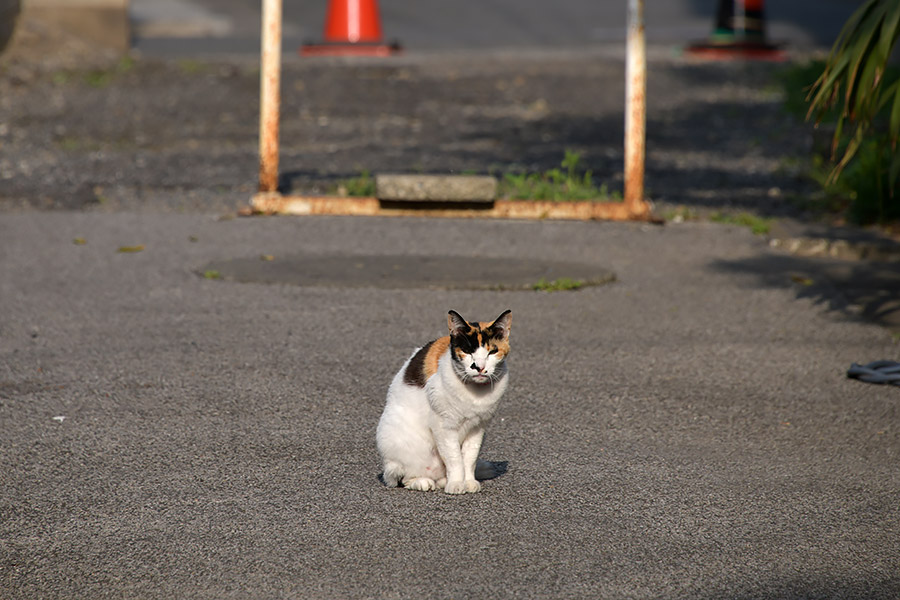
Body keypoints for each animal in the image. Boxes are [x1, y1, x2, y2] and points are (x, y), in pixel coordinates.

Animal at [374, 308, 512, 494]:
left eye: (492, 352)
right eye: (467, 351)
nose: (479, 367)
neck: (474, 393)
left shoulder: (478, 428)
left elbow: (469, 459)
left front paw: (468, 482)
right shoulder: (444, 426)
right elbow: (455, 459)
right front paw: (456, 484)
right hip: (399, 446)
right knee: (401, 478)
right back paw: (423, 482)